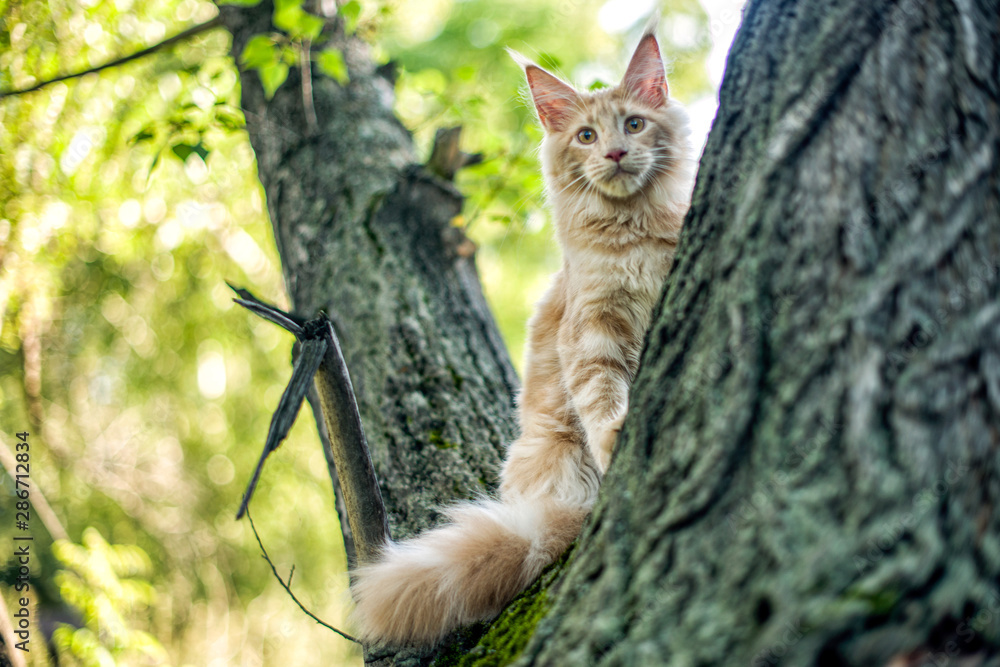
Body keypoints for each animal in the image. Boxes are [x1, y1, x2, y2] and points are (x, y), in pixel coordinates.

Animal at [348, 27, 692, 648]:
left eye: (633, 125)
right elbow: (602, 395)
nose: (613, 153)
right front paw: (616, 437)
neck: (631, 236)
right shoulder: (590, 330)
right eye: (586, 136)